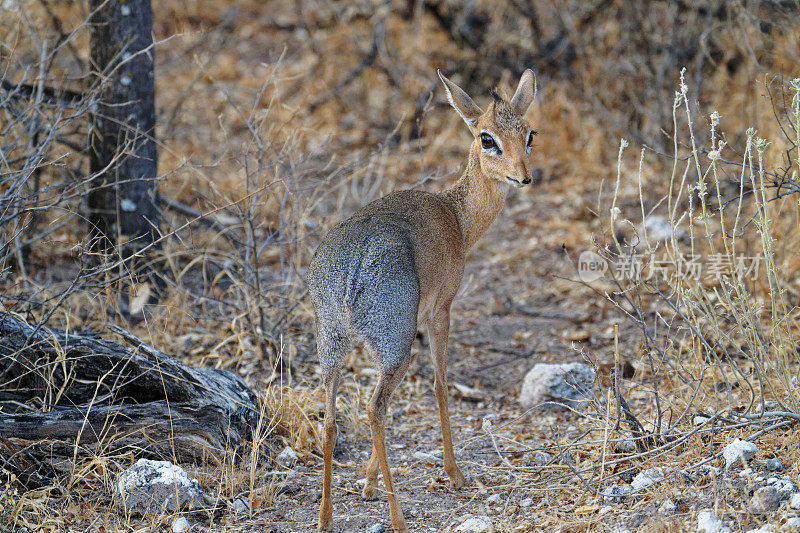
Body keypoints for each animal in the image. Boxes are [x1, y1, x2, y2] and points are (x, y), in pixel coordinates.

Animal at [306, 68, 536, 528]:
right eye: (487, 137)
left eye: (529, 133)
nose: (523, 177)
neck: (458, 219)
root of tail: (348, 276)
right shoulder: (440, 311)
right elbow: (441, 385)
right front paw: (454, 473)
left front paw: (367, 482)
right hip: (395, 345)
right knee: (374, 408)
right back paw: (397, 518)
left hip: (334, 344)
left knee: (331, 420)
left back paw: (325, 517)